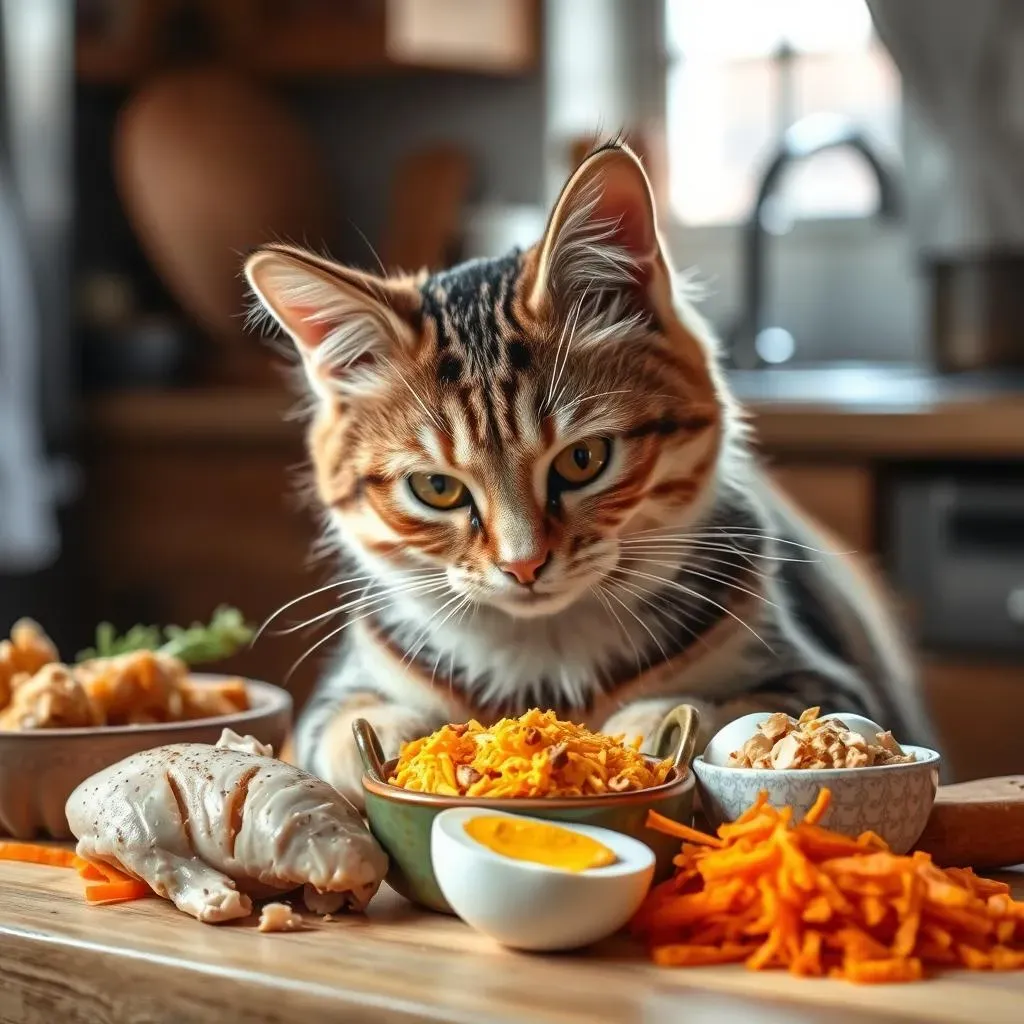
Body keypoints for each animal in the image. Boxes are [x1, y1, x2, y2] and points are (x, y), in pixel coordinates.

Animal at [243, 142, 933, 806]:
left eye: (583, 459)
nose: (523, 566)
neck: (546, 654)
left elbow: (732, 713)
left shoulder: (830, 681)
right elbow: (339, 727)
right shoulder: (345, 687)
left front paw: (645, 726)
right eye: (436, 488)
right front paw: (405, 738)